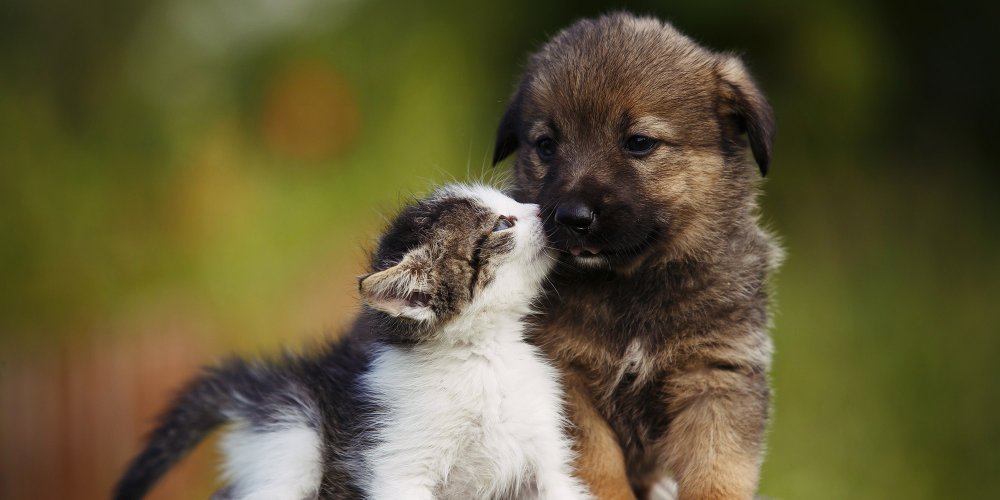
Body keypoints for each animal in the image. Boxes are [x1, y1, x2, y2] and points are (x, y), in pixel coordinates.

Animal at [113, 184, 588, 500]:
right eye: (503, 222)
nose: (546, 208)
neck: (483, 357)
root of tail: (269, 385)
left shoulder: (545, 458)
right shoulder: (398, 466)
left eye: (512, 202)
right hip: (293, 439)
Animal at [492, 11, 780, 500]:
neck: (632, 285)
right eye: (547, 145)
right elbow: (597, 467)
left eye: (640, 142)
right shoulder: (566, 377)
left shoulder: (716, 373)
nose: (571, 216)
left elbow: (718, 470)